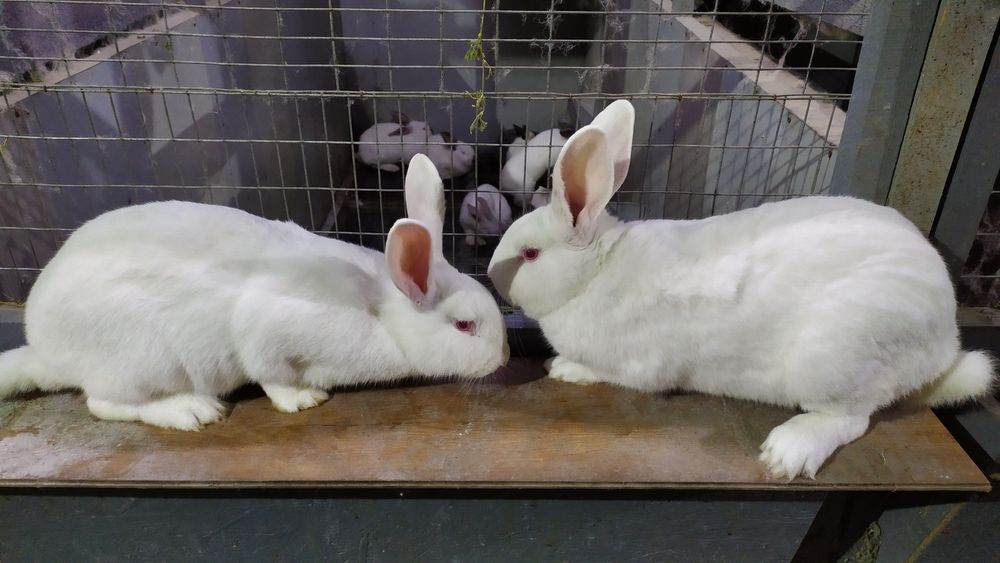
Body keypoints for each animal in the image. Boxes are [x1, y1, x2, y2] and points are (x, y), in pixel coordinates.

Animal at [0, 154, 508, 431]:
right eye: (464, 325)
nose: (503, 358)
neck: (380, 313)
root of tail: (44, 349)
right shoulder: (266, 334)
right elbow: (271, 376)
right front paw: (303, 400)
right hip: (140, 361)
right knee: (104, 403)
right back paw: (192, 411)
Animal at [488, 99, 996, 480]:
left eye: (529, 254)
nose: (492, 274)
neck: (595, 273)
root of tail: (945, 343)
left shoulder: (638, 365)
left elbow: (608, 372)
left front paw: (564, 368)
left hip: (834, 360)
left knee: (850, 418)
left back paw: (787, 452)